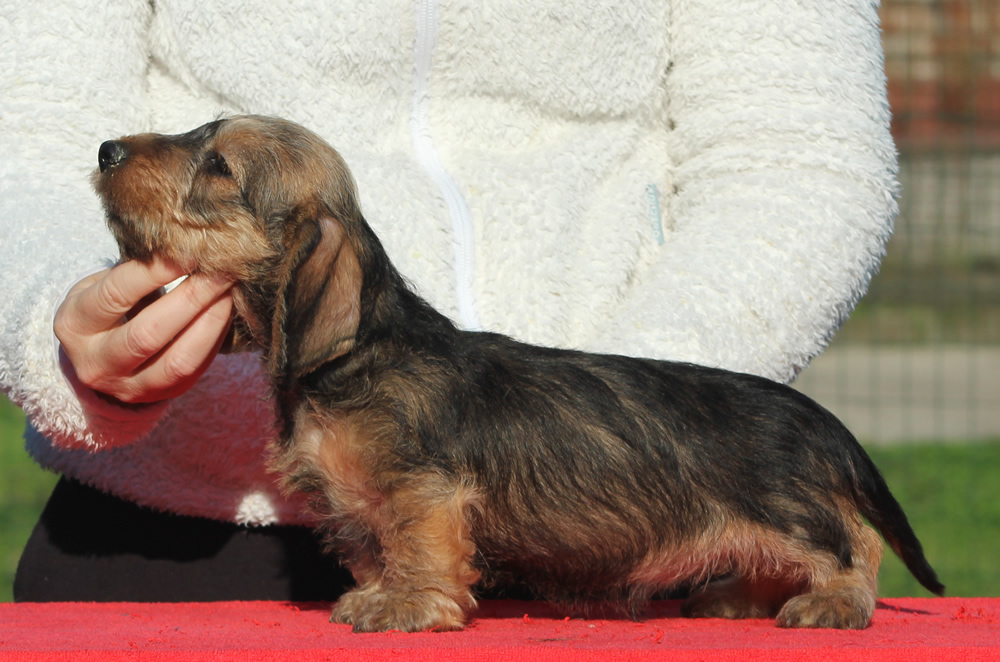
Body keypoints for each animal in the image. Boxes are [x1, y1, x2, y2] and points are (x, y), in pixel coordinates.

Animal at [95, 116, 944, 636]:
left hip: (791, 510)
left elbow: (419, 545)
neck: (358, 356)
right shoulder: (361, 504)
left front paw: (409, 604)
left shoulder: (425, 489)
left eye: (217, 166)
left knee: (854, 546)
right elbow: (375, 546)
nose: (105, 150)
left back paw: (832, 602)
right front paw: (376, 592)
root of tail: (815, 418)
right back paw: (736, 598)